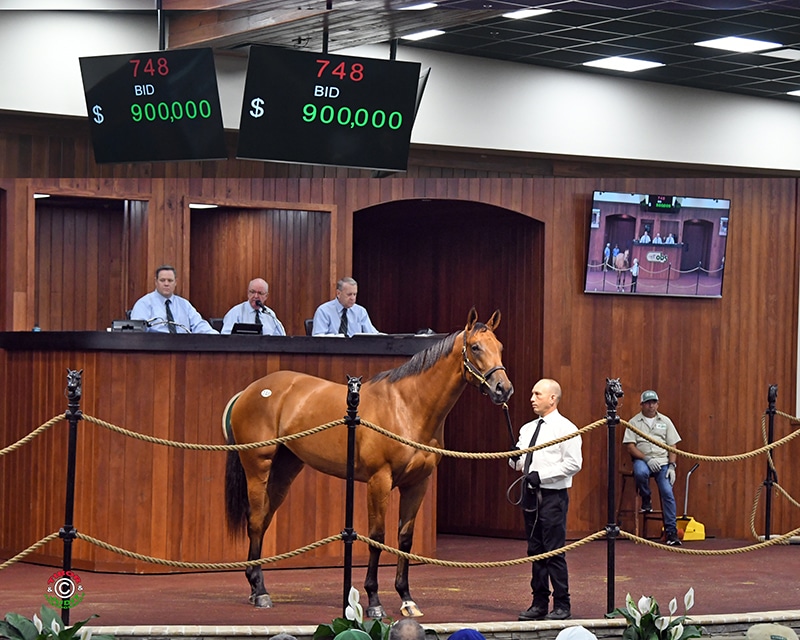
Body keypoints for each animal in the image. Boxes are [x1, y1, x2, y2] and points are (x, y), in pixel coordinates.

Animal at [225, 308, 512, 616]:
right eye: (475, 347)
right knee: (256, 521)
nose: (503, 389)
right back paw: (260, 592)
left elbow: (405, 539)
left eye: (500, 347)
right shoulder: (379, 480)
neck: (406, 407)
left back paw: (256, 586)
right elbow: (377, 537)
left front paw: (407, 599)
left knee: (264, 519)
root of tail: (251, 390)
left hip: (284, 470)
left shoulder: (417, 484)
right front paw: (374, 601)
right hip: (258, 468)